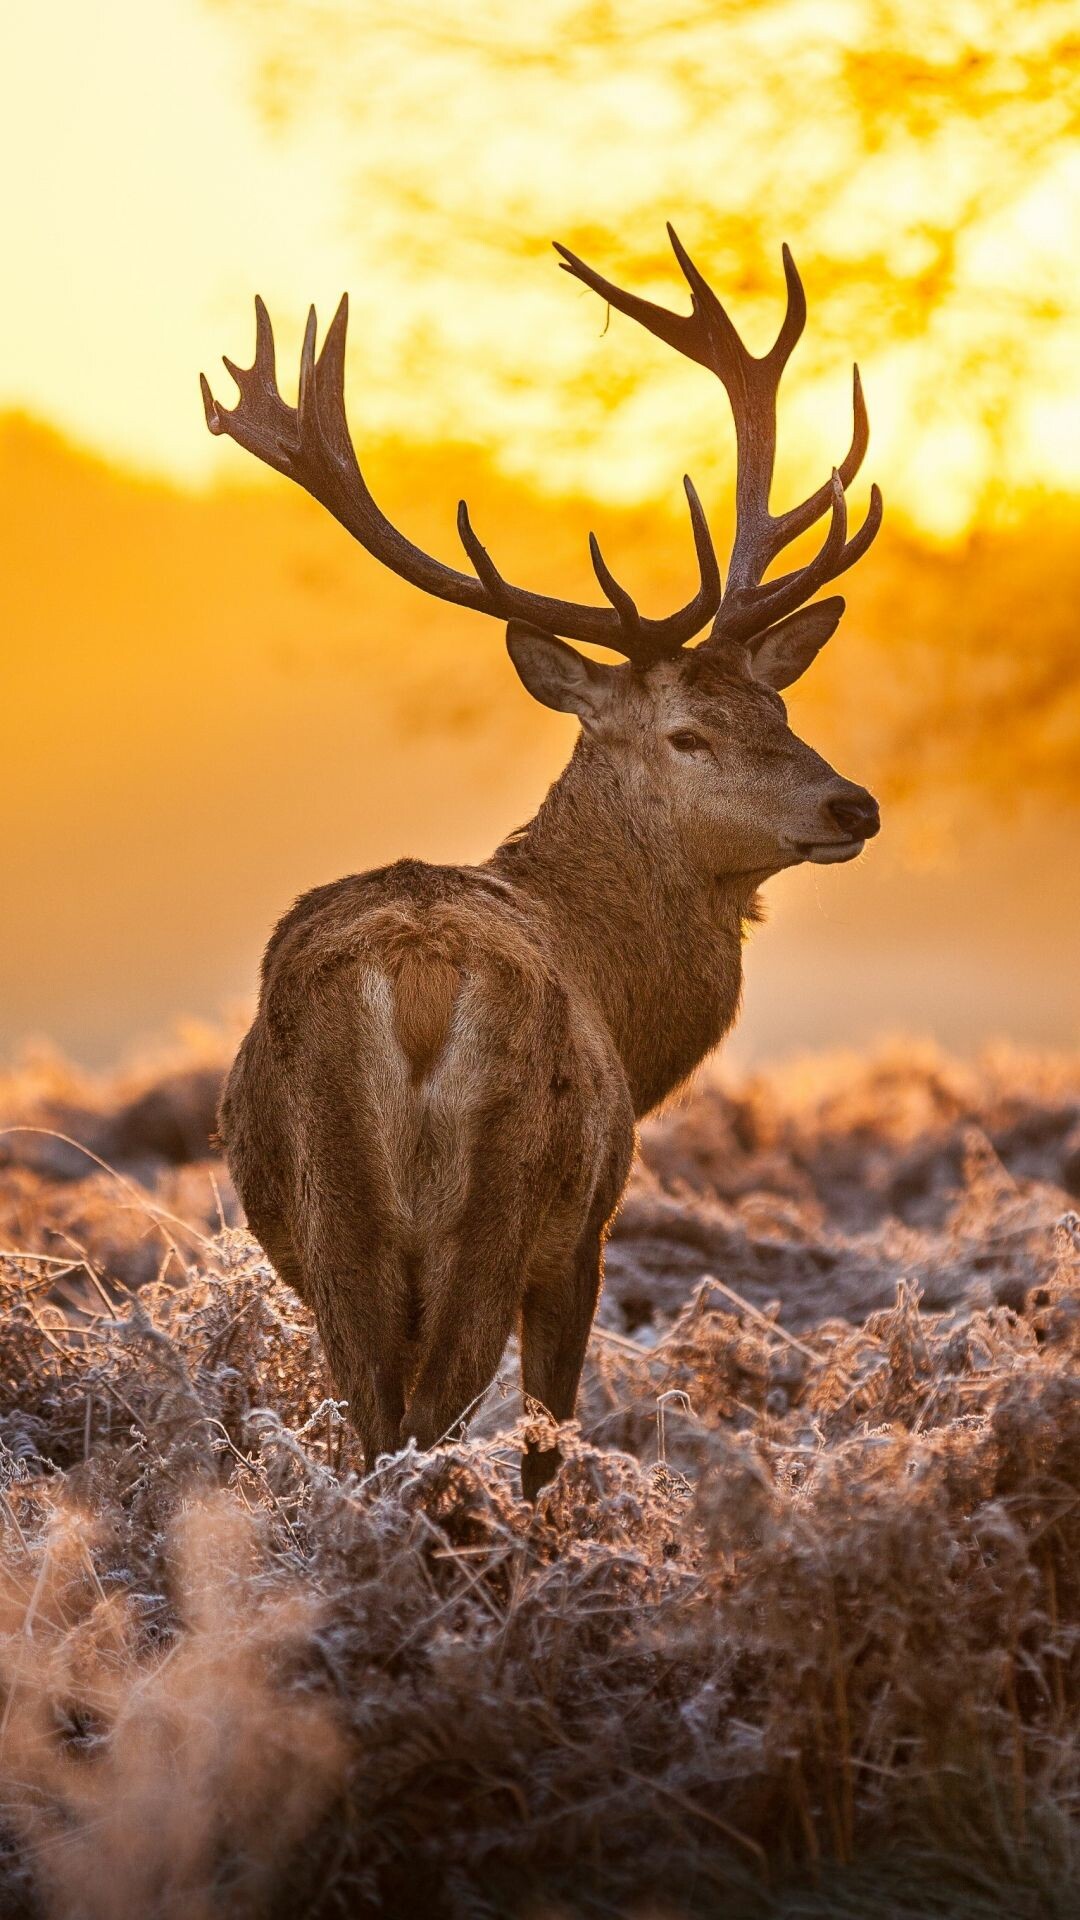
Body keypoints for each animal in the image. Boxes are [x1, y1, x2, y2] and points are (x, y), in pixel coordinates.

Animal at [199, 228, 876, 1497]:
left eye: (778, 705)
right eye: (688, 733)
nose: (852, 802)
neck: (626, 1000)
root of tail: (415, 980)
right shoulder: (588, 1228)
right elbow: (550, 1438)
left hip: (332, 1218)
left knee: (376, 1422)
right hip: (502, 1201)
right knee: (434, 1421)